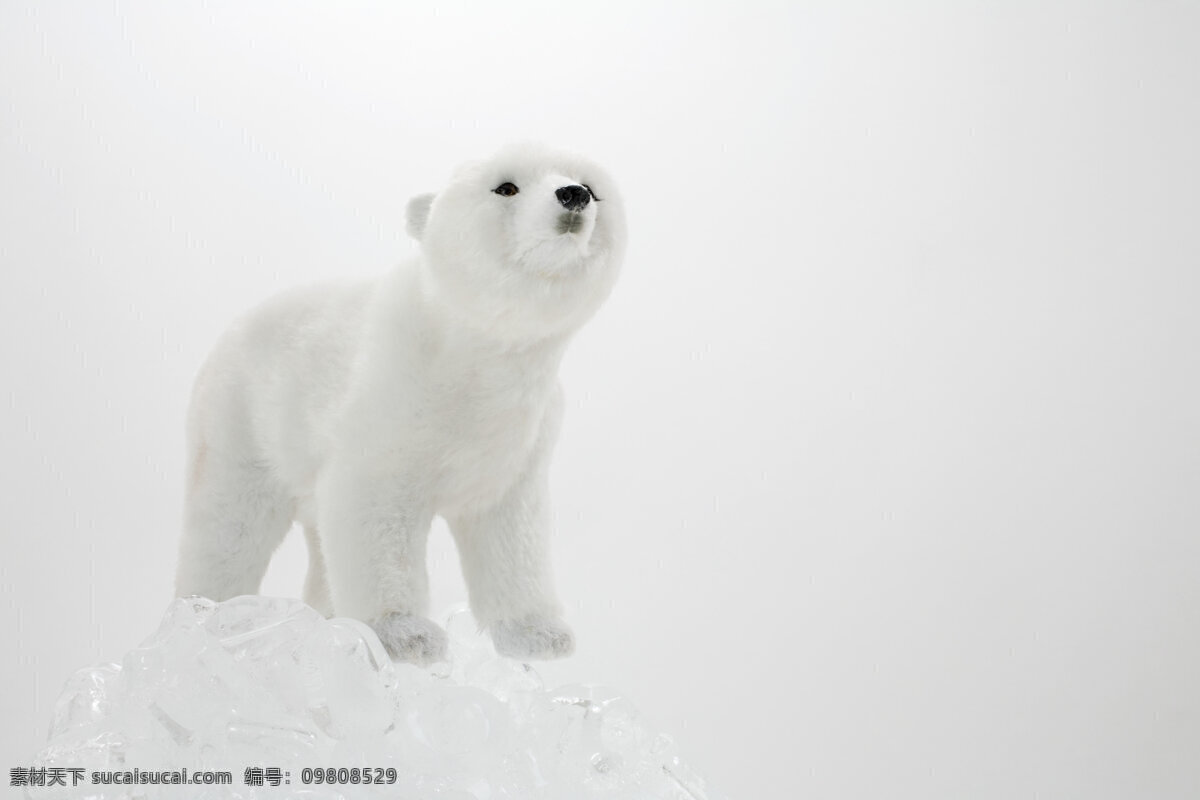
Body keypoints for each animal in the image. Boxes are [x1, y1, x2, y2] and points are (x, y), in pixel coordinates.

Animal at [174, 143, 626, 665]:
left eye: (591, 185)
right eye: (506, 187)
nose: (573, 195)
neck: (471, 356)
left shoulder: (521, 438)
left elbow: (511, 533)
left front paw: (540, 635)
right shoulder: (392, 398)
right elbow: (374, 512)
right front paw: (405, 636)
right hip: (242, 414)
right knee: (228, 523)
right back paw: (210, 616)